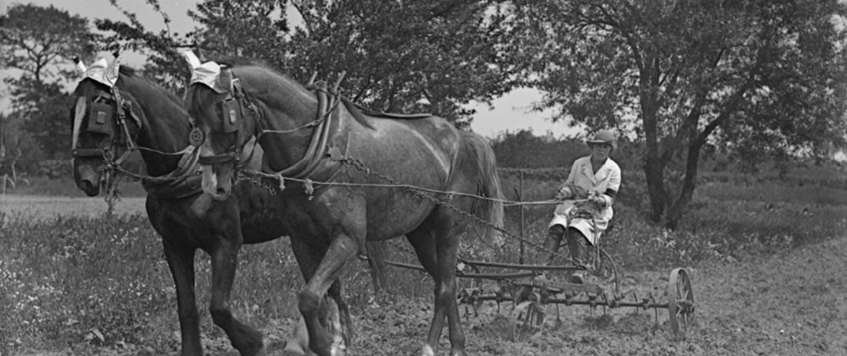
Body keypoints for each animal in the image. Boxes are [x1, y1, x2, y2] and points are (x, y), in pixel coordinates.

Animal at [69, 63, 380, 356]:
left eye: (99, 115)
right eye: (73, 110)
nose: (84, 177)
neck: (190, 167)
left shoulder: (227, 241)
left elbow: (218, 306)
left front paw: (252, 343)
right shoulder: (175, 244)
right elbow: (186, 307)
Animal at [186, 58, 504, 356]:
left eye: (224, 114)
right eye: (193, 119)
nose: (211, 184)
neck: (323, 148)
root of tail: (461, 137)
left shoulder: (348, 239)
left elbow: (309, 297)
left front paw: (325, 343)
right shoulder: (303, 240)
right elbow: (325, 294)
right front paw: (334, 341)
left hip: (448, 225)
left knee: (446, 286)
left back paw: (432, 346)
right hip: (421, 233)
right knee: (444, 281)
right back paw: (457, 344)